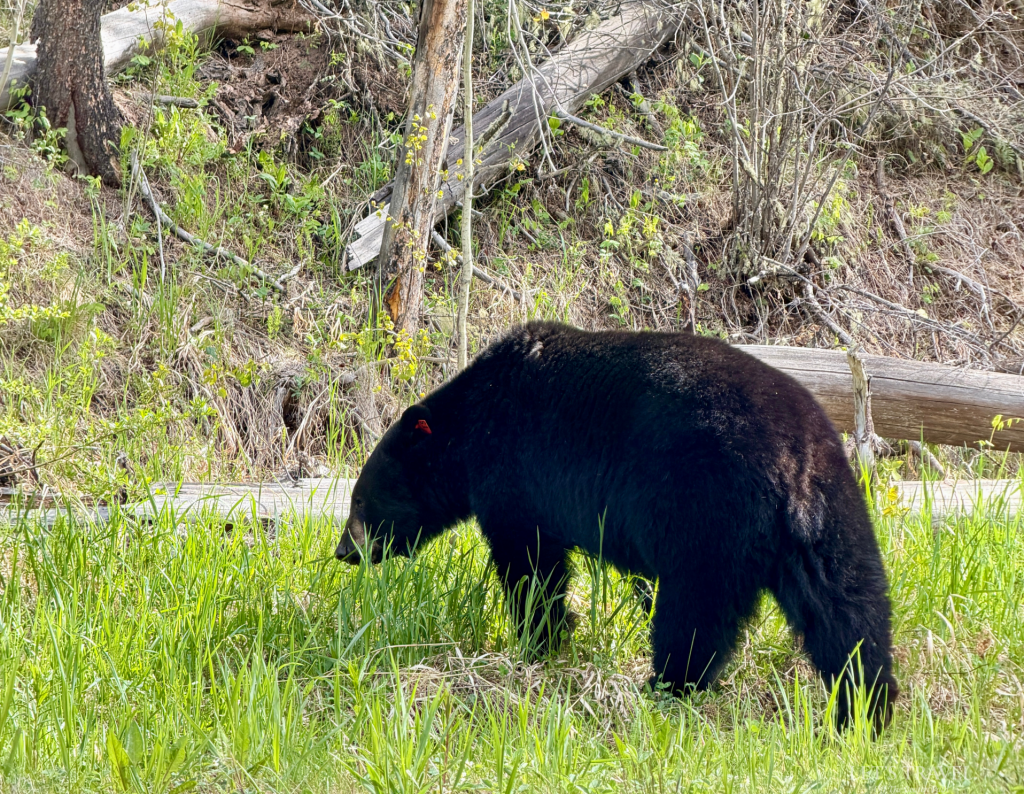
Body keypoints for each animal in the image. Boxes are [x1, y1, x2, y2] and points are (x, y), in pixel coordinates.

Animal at [335, 321, 898, 731]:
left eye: (360, 497)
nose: (344, 551)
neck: (473, 423)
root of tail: (792, 462)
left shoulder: (517, 474)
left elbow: (531, 564)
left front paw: (540, 641)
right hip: (831, 515)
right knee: (849, 609)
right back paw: (865, 708)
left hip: (708, 515)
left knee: (695, 613)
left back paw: (666, 686)